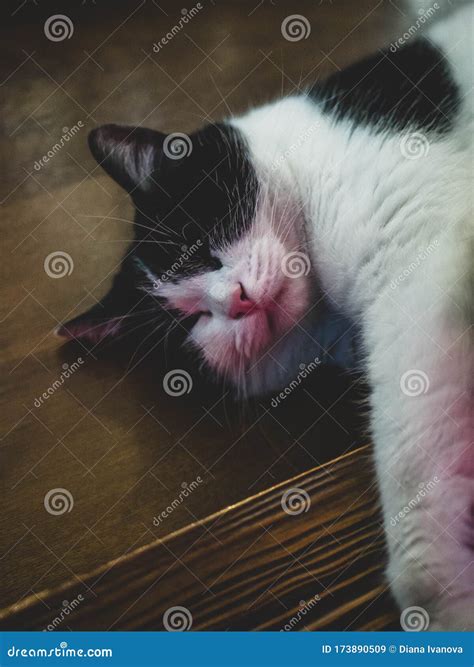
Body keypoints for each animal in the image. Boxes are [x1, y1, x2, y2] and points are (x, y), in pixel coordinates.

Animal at [57, 2, 472, 628]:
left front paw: (440, 601)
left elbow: (412, 445)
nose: (236, 300)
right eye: (189, 325)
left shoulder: (417, 263)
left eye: (201, 249)